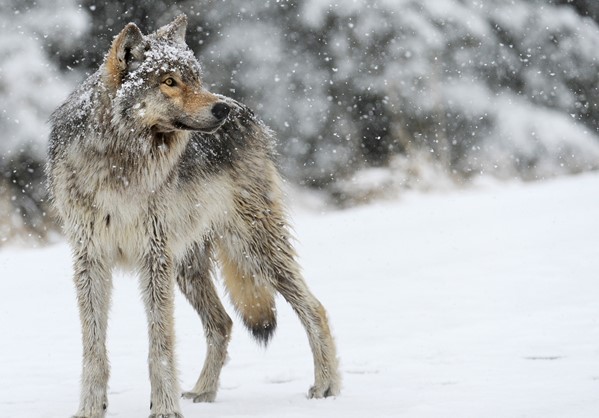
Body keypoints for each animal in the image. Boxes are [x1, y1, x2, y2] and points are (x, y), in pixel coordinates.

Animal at [46, 14, 340, 416]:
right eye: (169, 81)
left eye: (196, 78)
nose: (221, 110)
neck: (120, 163)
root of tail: (248, 113)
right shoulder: (90, 260)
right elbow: (93, 347)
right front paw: (91, 409)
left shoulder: (153, 257)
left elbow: (160, 345)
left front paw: (164, 408)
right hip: (188, 266)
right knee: (223, 322)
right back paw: (203, 392)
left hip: (253, 247)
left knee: (315, 307)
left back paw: (327, 386)